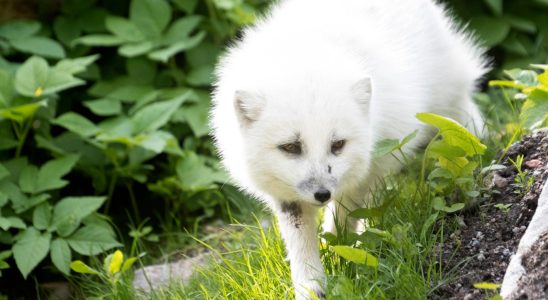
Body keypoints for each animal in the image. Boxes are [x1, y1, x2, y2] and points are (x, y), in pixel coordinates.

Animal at [211, 0, 488, 298]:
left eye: (337, 144)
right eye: (291, 147)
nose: (322, 194)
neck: (306, 53)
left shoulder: (366, 170)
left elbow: (343, 218)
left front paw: (339, 252)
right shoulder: (287, 197)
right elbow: (301, 242)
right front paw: (310, 285)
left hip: (443, 104)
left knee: (462, 115)